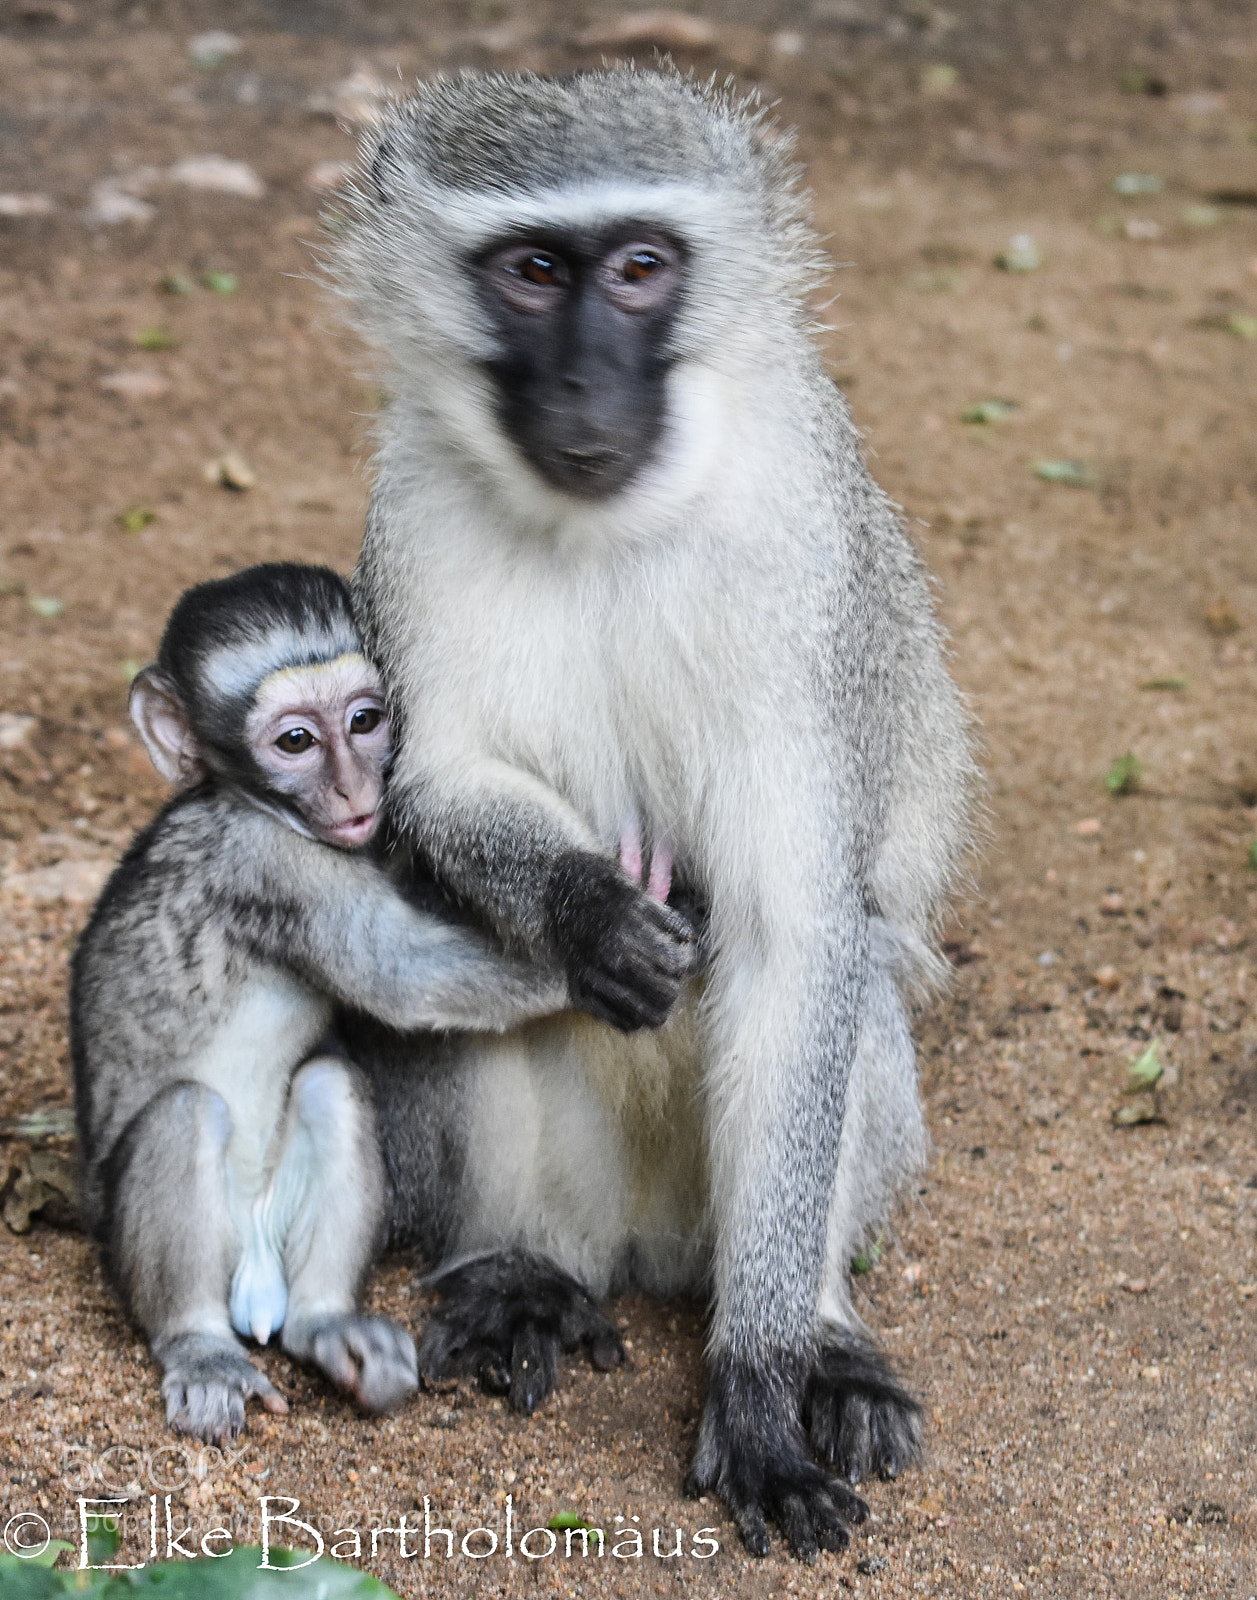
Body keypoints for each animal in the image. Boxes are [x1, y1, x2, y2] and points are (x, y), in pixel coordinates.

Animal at [70, 563, 570, 1444]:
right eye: (296, 741)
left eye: (365, 720)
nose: (351, 785)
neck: (246, 802)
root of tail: (256, 1282)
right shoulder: (268, 861)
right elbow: (396, 972)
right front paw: (621, 942)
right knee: (185, 1112)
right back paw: (199, 1345)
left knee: (331, 1087)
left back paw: (324, 1323)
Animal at [333, 69, 975, 1560]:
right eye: (529, 272)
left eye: (638, 270)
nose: (585, 384)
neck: (610, 521)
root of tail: (637, 1246)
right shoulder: (413, 505)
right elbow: (435, 789)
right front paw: (591, 911)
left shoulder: (802, 556)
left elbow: (799, 934)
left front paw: (757, 1394)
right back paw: (515, 1272)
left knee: (848, 990)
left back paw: (822, 1339)